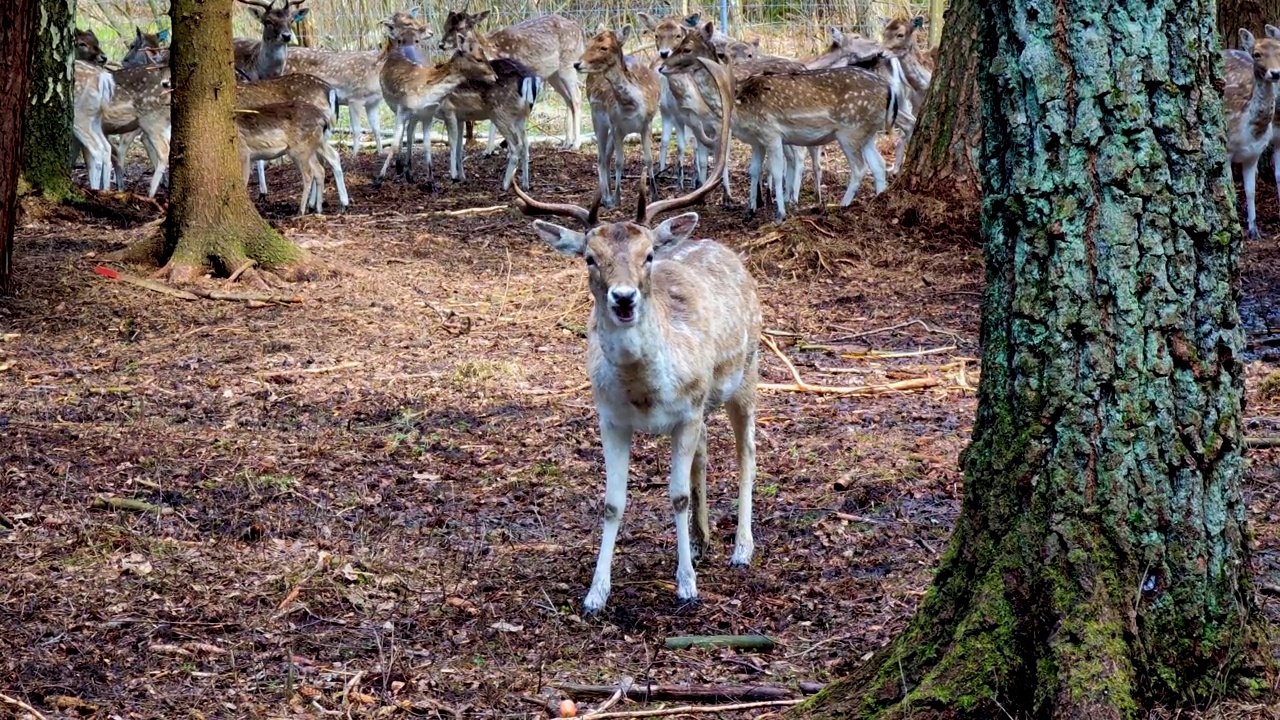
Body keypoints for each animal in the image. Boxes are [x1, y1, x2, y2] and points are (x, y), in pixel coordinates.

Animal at [437, 8, 583, 151]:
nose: (441, 44)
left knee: (576, 96)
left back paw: (576, 144)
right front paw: (489, 150)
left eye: (460, 27)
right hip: (554, 75)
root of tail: (580, 31)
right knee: (568, 99)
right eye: (445, 25)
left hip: (568, 63)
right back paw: (566, 143)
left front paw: (499, 149)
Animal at [440, 57, 540, 190]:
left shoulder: (449, 110)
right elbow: (459, 146)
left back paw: (504, 185)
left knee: (516, 145)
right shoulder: (460, 117)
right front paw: (462, 177)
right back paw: (525, 184)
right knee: (526, 144)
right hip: (520, 117)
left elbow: (451, 143)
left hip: (501, 113)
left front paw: (453, 177)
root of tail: (530, 79)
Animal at [512, 58, 757, 614]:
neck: (646, 394)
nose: (623, 299)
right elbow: (612, 502)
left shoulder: (686, 410)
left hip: (749, 371)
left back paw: (740, 548)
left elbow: (676, 495)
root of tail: (722, 246)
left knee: (746, 450)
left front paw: (686, 585)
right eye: (589, 257)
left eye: (647, 255)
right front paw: (595, 593)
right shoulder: (609, 418)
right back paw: (707, 539)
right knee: (707, 451)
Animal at [578, 26, 660, 206]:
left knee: (606, 155)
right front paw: (617, 198)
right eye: (588, 43)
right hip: (597, 118)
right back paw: (606, 197)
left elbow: (649, 159)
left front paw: (655, 196)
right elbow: (619, 162)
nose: (577, 63)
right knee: (601, 157)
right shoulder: (616, 126)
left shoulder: (647, 123)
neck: (630, 105)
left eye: (604, 47)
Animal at [1218, 26, 1280, 238]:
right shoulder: (1227, 152)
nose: (1275, 73)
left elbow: (1251, 191)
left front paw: (1254, 230)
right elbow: (1230, 191)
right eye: (1257, 54)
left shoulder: (1254, 154)